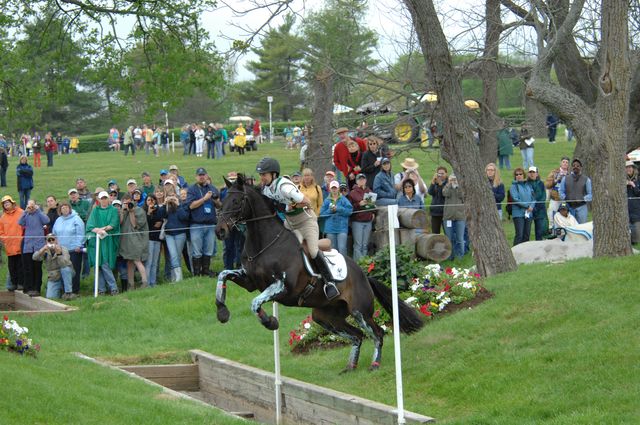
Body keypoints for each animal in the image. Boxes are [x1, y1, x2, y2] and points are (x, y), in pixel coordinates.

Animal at [216, 174, 424, 370]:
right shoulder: (250, 282)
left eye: (236, 201)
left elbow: (254, 303)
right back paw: (350, 367)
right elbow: (223, 275)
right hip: (325, 316)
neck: (265, 243)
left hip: (359, 311)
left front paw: (271, 322)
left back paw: (374, 364)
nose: (220, 231)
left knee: (377, 333)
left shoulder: (283, 287)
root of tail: (365, 275)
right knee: (356, 335)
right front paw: (222, 313)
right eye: (222, 201)